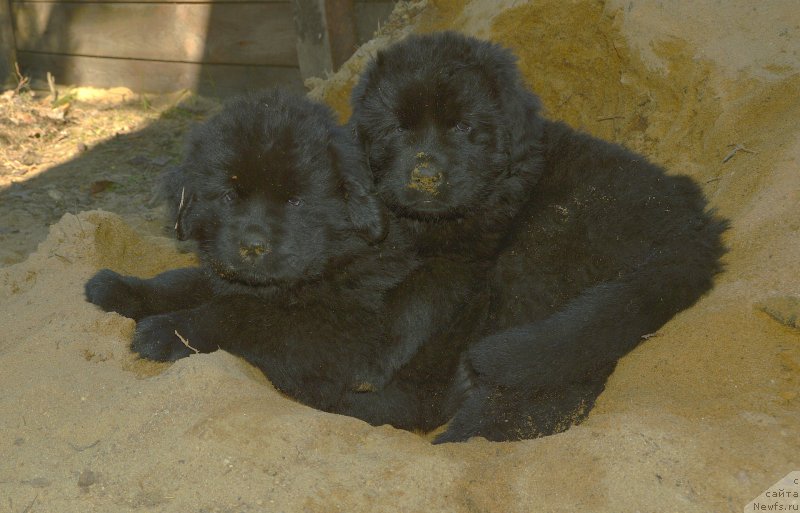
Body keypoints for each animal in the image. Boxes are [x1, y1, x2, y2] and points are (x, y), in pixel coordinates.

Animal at [86, 89, 424, 412]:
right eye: (229, 196)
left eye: (295, 201)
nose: (252, 245)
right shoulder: (223, 274)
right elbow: (179, 281)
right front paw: (118, 286)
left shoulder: (337, 342)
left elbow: (241, 311)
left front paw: (165, 331)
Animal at [350, 31, 724, 440]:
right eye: (398, 128)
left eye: (463, 127)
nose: (425, 177)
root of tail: (694, 230)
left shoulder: (465, 260)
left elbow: (416, 295)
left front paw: (369, 361)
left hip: (540, 252)